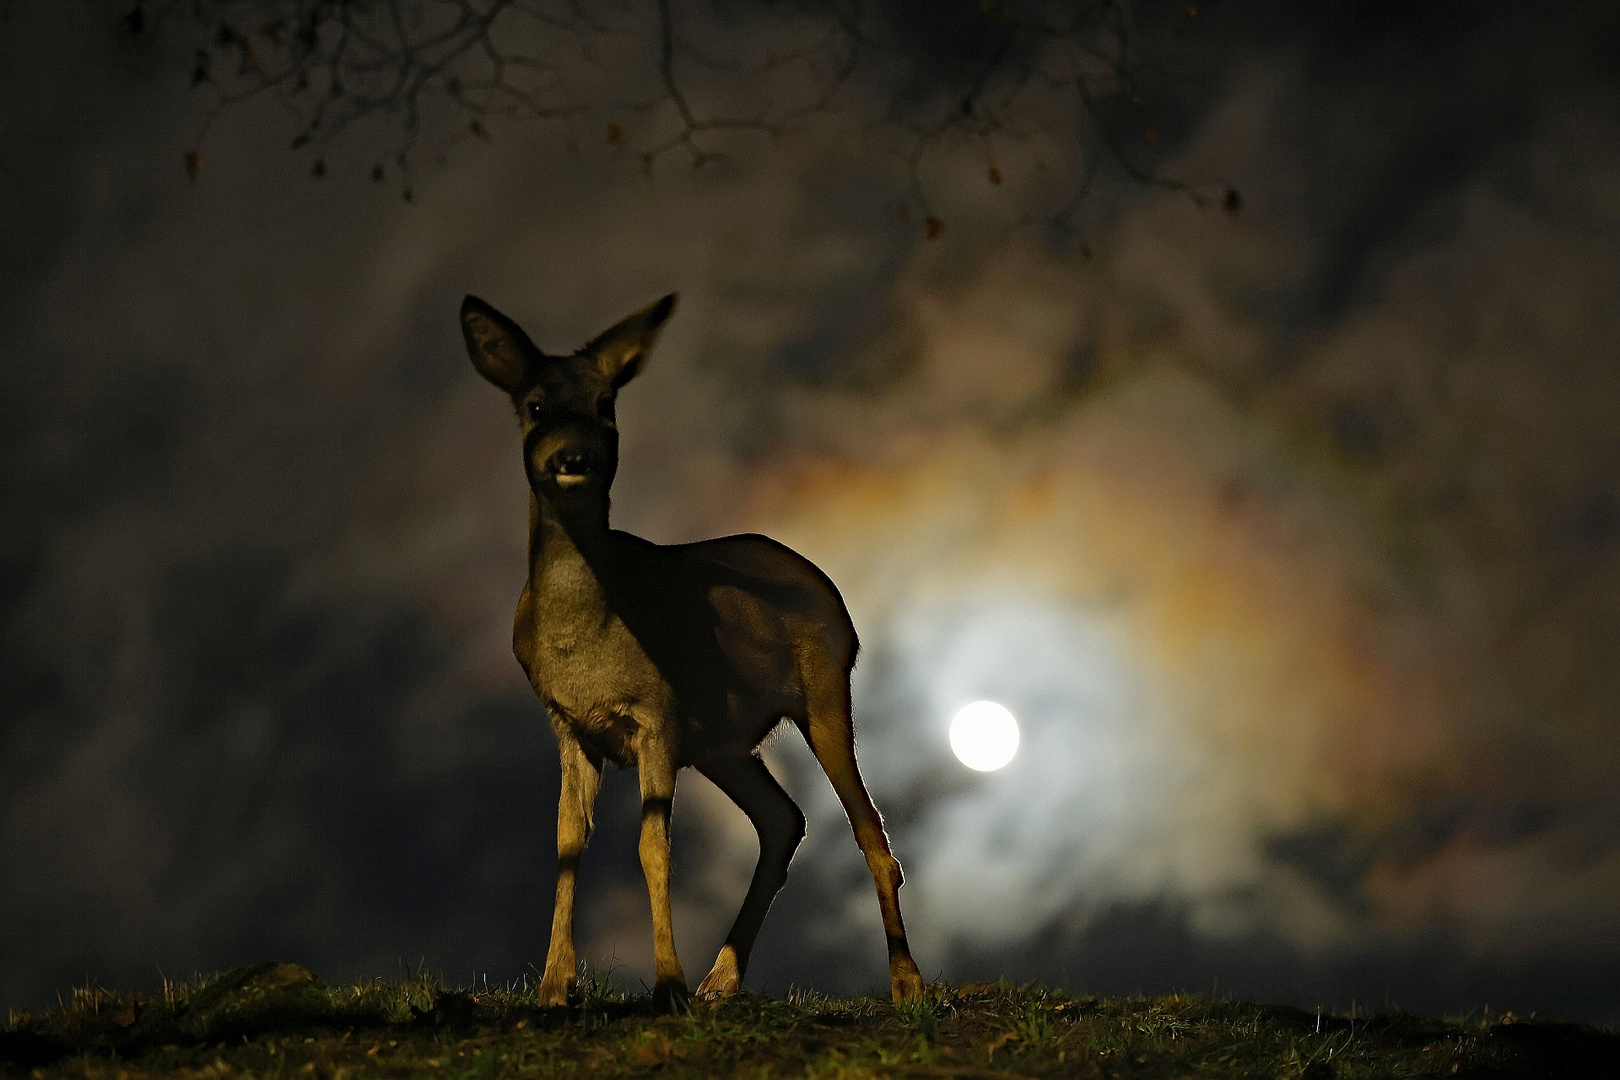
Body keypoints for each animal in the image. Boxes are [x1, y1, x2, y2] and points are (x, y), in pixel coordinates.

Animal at [463, 291, 933, 1010]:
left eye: (606, 402)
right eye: (535, 404)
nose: (574, 459)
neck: (587, 636)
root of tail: (824, 584)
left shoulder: (657, 714)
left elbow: (653, 847)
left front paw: (666, 984)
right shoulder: (569, 726)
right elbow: (567, 845)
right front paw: (553, 987)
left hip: (824, 692)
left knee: (867, 826)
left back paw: (905, 982)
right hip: (723, 743)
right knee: (784, 818)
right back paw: (722, 978)